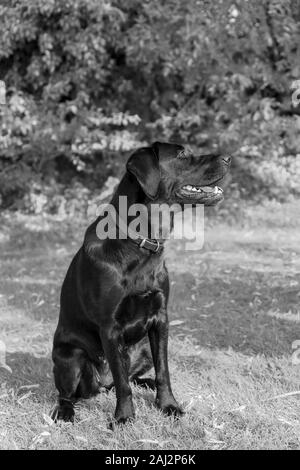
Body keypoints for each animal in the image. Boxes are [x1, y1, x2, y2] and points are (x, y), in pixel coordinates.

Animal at [51, 141, 231, 424]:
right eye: (181, 154)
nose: (228, 158)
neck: (142, 240)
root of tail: (100, 385)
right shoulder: (109, 328)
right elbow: (123, 384)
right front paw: (124, 418)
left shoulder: (160, 318)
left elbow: (163, 372)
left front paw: (168, 405)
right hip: (70, 356)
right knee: (72, 392)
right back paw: (65, 412)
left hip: (144, 348)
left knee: (130, 377)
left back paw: (145, 383)